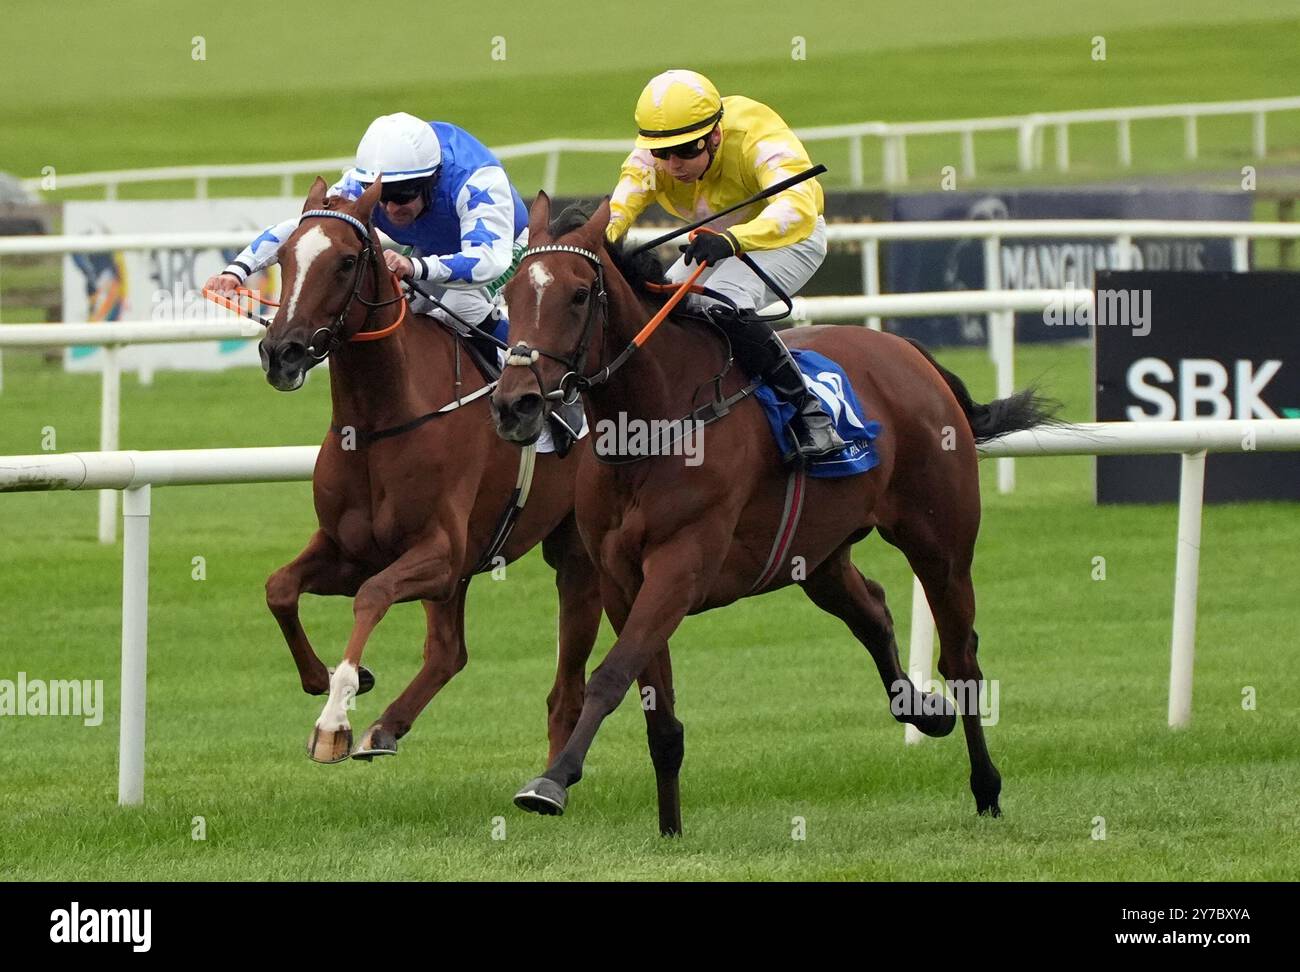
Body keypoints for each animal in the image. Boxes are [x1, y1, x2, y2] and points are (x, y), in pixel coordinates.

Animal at [260, 178, 603, 764]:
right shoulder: (351, 549)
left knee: (566, 689)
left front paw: (334, 718)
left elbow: (373, 596)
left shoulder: (439, 552)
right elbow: (279, 588)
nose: (280, 352)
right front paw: (327, 678)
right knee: (448, 652)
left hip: (575, 552)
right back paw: (386, 726)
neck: (379, 423)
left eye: (346, 261)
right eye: (284, 257)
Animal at [491, 194, 1060, 836]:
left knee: (962, 657)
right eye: (513, 295)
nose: (515, 405)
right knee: (872, 610)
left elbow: (610, 676)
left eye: (580, 294)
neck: (653, 423)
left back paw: (986, 788)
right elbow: (658, 714)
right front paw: (670, 829)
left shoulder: (681, 567)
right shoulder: (619, 579)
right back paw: (923, 710)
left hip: (940, 542)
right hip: (816, 554)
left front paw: (551, 782)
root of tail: (908, 352)